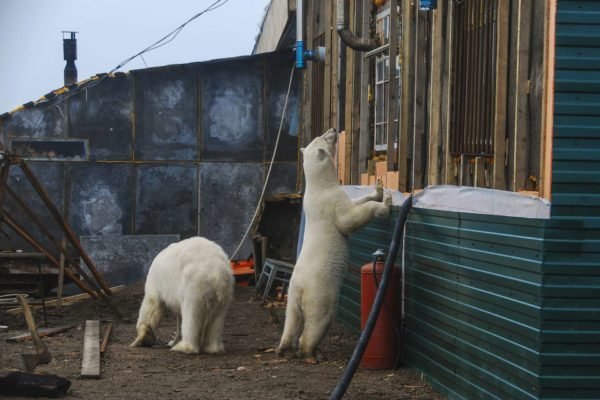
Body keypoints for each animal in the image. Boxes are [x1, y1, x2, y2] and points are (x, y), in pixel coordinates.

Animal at [276, 127, 392, 362]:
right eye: (324, 137)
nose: (332, 129)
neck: (319, 186)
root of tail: (300, 289)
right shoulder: (330, 204)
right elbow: (349, 219)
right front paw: (385, 203)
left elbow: (356, 201)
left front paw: (377, 188)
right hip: (319, 293)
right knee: (318, 321)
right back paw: (311, 353)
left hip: (292, 295)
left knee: (291, 319)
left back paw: (284, 347)